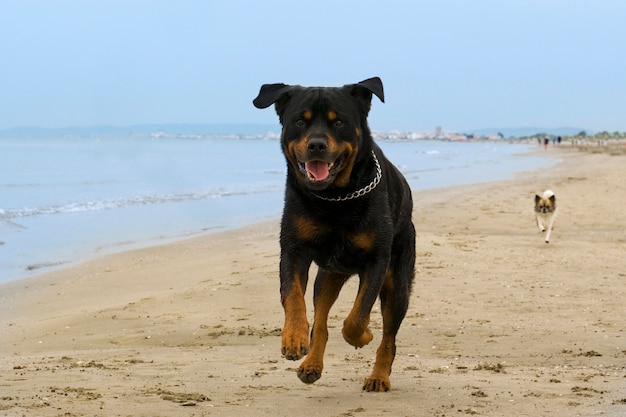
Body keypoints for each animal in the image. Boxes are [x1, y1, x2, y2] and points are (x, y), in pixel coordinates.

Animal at [251, 77, 412, 390]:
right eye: (300, 121)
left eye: (339, 122)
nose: (316, 145)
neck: (335, 198)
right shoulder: (293, 249)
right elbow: (292, 295)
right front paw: (293, 337)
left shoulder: (377, 260)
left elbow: (358, 316)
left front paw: (363, 335)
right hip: (328, 276)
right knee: (321, 320)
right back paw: (311, 364)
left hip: (398, 282)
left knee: (389, 336)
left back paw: (379, 376)